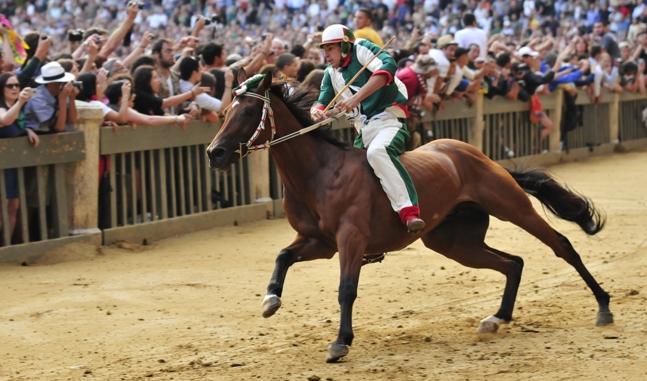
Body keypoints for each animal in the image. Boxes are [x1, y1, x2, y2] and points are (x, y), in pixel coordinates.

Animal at [208, 74, 612, 362]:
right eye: (225, 111)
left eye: (247, 112)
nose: (215, 152)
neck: (320, 172)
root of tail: (476, 154)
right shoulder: (319, 242)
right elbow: (283, 257)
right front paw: (270, 300)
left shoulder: (350, 239)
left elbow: (346, 289)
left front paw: (340, 342)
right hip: (454, 241)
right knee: (513, 263)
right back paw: (496, 317)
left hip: (512, 207)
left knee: (562, 246)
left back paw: (603, 306)